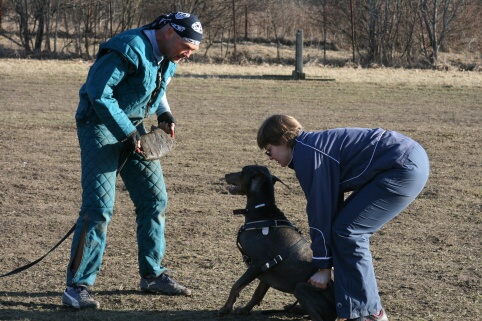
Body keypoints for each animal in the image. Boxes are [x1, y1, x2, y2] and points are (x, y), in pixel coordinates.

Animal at [218, 165, 336, 318]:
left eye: (243, 171)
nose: (226, 174)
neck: (262, 212)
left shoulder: (257, 264)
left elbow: (236, 285)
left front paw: (225, 308)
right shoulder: (267, 270)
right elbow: (258, 293)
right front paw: (245, 309)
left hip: (301, 288)